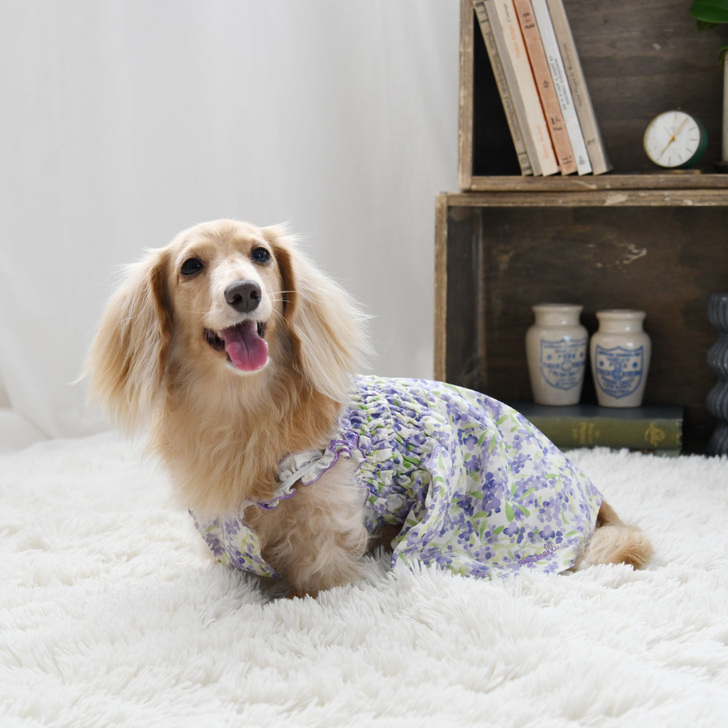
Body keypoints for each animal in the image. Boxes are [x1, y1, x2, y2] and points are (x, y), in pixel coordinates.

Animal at [86, 219, 652, 597]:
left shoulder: (328, 512)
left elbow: (321, 569)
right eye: (191, 266)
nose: (244, 292)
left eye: (260, 255)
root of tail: (590, 493)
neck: (244, 412)